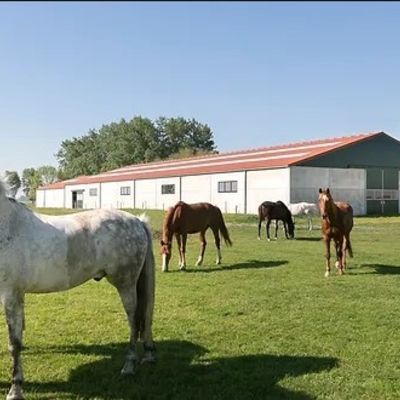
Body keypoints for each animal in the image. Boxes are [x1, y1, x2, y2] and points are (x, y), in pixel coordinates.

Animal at [0, 181, 155, 400]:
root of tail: (137, 221)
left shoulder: (10, 295)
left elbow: (14, 343)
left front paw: (15, 390)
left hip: (126, 284)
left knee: (134, 320)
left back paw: (129, 365)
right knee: (145, 317)